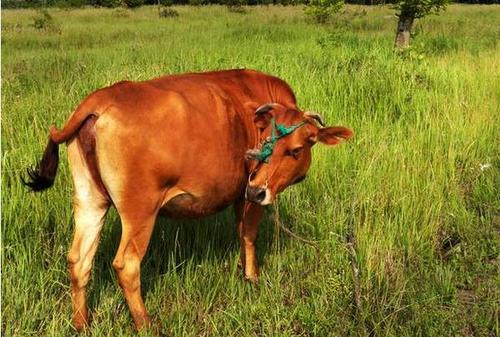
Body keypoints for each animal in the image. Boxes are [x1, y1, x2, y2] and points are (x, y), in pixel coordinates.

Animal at [23, 67, 352, 328]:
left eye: (295, 150)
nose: (259, 189)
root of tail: (101, 99)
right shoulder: (249, 195)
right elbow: (248, 235)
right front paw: (252, 278)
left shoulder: (241, 193)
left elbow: (240, 232)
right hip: (140, 212)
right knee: (126, 265)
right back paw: (146, 324)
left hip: (90, 200)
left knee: (79, 260)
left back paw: (82, 323)